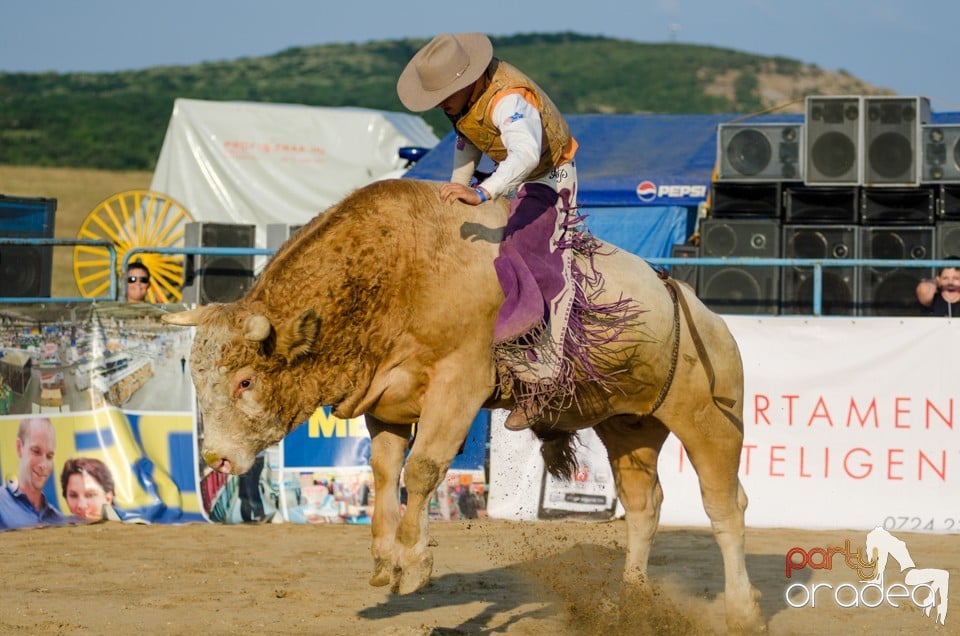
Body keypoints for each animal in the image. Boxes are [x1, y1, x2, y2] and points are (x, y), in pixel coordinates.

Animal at [163, 178, 764, 632]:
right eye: (196, 375)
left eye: (244, 380)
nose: (215, 458)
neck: (401, 266)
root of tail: (693, 305)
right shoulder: (387, 401)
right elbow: (385, 472)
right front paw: (383, 557)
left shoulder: (459, 385)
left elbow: (424, 468)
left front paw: (414, 560)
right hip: (629, 427)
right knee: (644, 507)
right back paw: (631, 602)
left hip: (709, 421)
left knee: (724, 507)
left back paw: (742, 610)